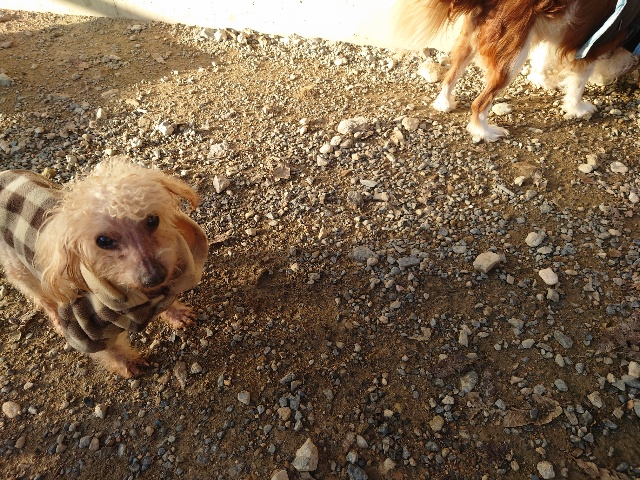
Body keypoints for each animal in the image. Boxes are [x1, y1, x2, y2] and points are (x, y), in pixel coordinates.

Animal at [0, 158, 208, 377]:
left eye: (152, 220)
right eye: (103, 241)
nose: (154, 277)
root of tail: (4, 174)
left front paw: (176, 313)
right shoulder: (82, 329)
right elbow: (110, 350)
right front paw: (127, 363)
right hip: (18, 267)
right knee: (41, 296)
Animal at [393, 0, 640, 141]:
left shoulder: (553, 31)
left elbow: (542, 57)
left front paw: (542, 81)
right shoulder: (591, 46)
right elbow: (578, 84)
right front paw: (578, 108)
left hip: (472, 40)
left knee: (451, 75)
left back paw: (444, 103)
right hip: (511, 58)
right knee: (479, 104)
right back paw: (485, 132)